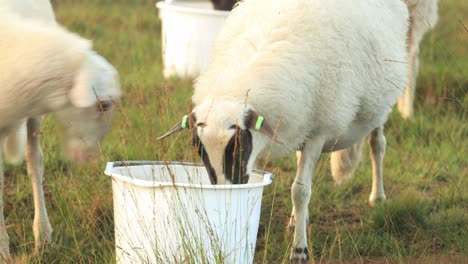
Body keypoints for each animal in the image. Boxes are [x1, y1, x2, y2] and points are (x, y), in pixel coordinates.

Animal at [159, 0, 408, 260]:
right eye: (199, 150)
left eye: (240, 145)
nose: (227, 194)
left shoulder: (318, 132)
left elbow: (300, 191)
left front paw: (299, 251)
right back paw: (297, 219)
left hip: (379, 104)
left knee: (377, 145)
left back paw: (377, 197)